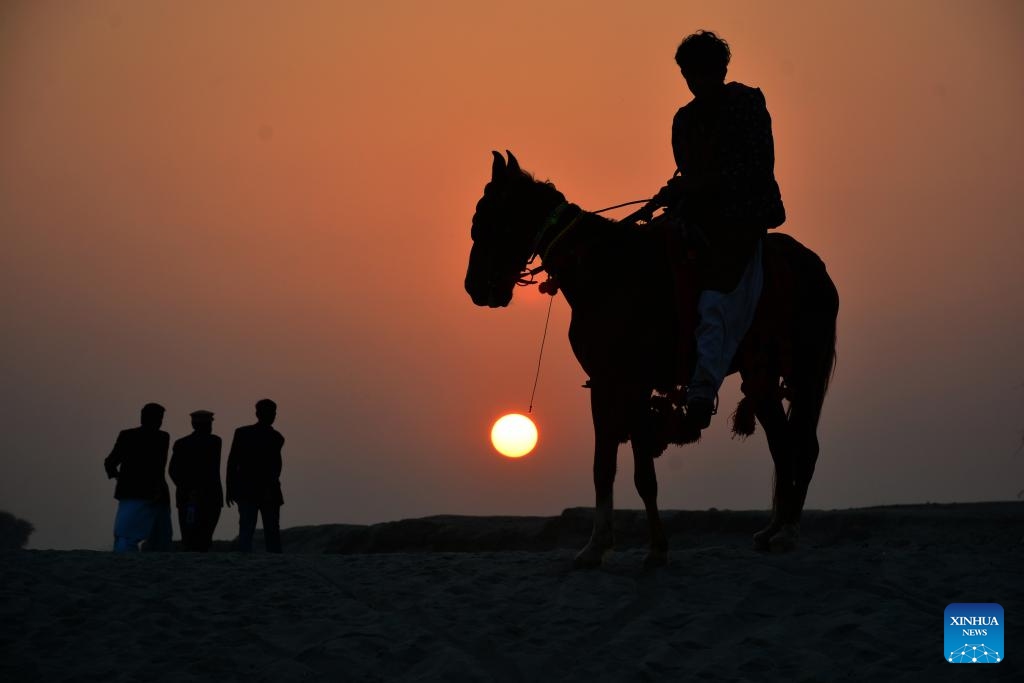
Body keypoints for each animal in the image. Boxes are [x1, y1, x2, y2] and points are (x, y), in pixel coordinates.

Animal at [466, 152, 839, 569]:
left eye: (486, 219)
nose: (475, 287)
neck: (607, 273)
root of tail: (817, 268)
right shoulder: (604, 383)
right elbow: (603, 467)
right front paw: (596, 546)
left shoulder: (633, 385)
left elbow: (643, 474)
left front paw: (656, 548)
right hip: (763, 378)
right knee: (782, 443)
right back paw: (772, 530)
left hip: (805, 373)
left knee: (803, 445)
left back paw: (788, 532)